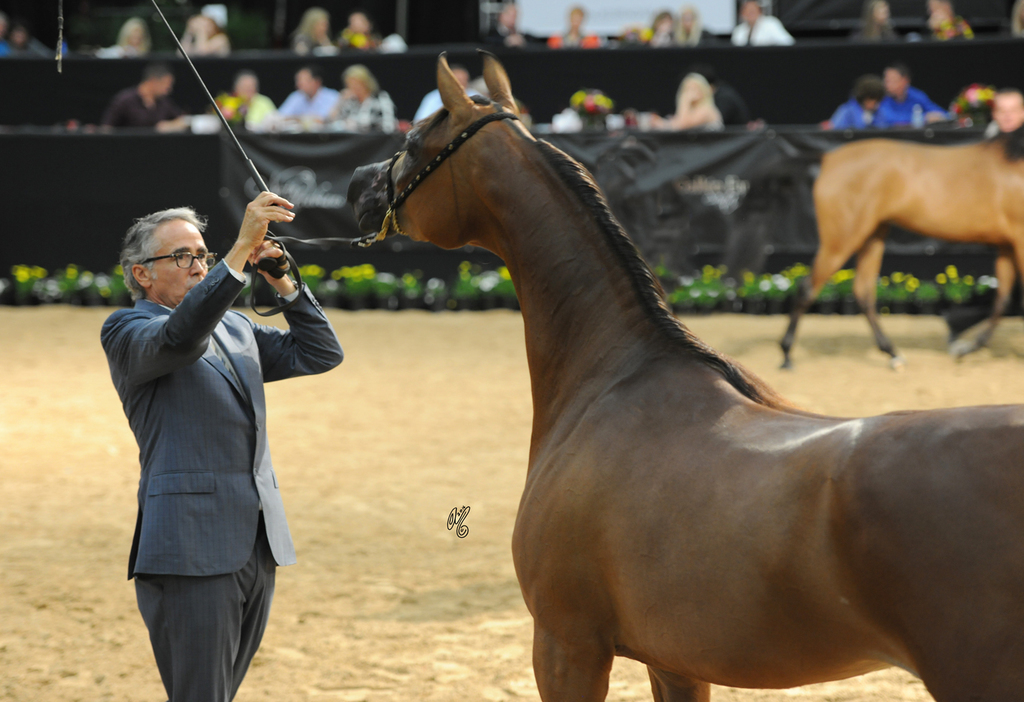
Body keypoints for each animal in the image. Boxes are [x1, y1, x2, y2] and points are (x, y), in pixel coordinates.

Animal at [780, 131, 1024, 369]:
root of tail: (829, 157)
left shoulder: (1007, 245)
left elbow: (1002, 300)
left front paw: (968, 347)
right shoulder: (1018, 240)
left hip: (873, 236)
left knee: (863, 292)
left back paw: (893, 354)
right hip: (841, 239)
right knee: (807, 288)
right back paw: (786, 355)